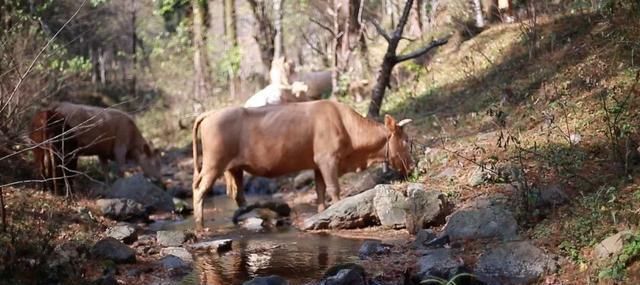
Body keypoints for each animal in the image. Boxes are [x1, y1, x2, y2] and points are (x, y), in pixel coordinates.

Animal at [190, 99, 416, 229]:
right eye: (406, 140)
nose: (413, 166)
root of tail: (212, 113)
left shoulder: (317, 164)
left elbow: (320, 191)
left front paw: (323, 213)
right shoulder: (328, 159)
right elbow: (333, 189)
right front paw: (338, 210)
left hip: (233, 167)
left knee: (238, 195)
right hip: (213, 163)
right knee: (200, 190)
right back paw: (200, 225)